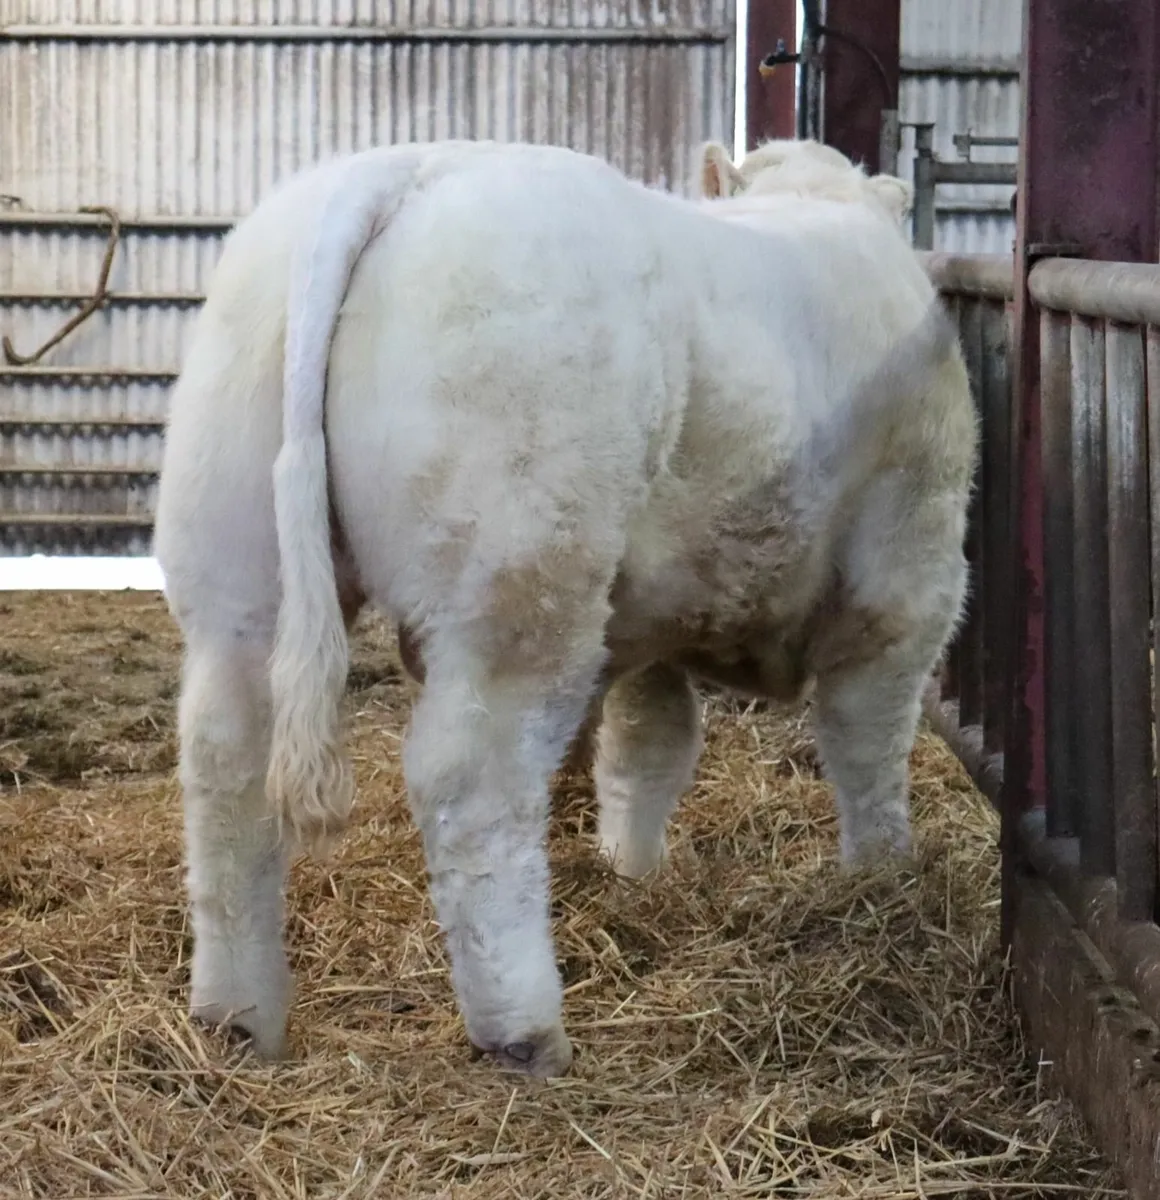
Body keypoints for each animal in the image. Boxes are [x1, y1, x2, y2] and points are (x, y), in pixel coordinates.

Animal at [152, 137, 977, 1080]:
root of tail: (405, 168)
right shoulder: (909, 571)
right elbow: (868, 739)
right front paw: (884, 875)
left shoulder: (656, 625)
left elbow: (650, 744)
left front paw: (635, 870)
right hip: (519, 579)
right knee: (471, 779)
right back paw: (524, 1028)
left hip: (236, 563)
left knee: (226, 760)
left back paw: (238, 1017)